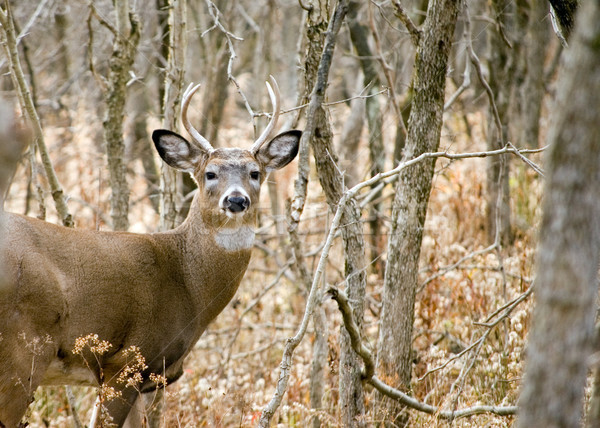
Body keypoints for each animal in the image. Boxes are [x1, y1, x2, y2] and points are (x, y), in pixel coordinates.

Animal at [0, 77, 300, 428]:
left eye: (255, 173)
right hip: (24, 351)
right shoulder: (127, 361)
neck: (188, 283)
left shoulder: (148, 379)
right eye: (210, 173)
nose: (236, 200)